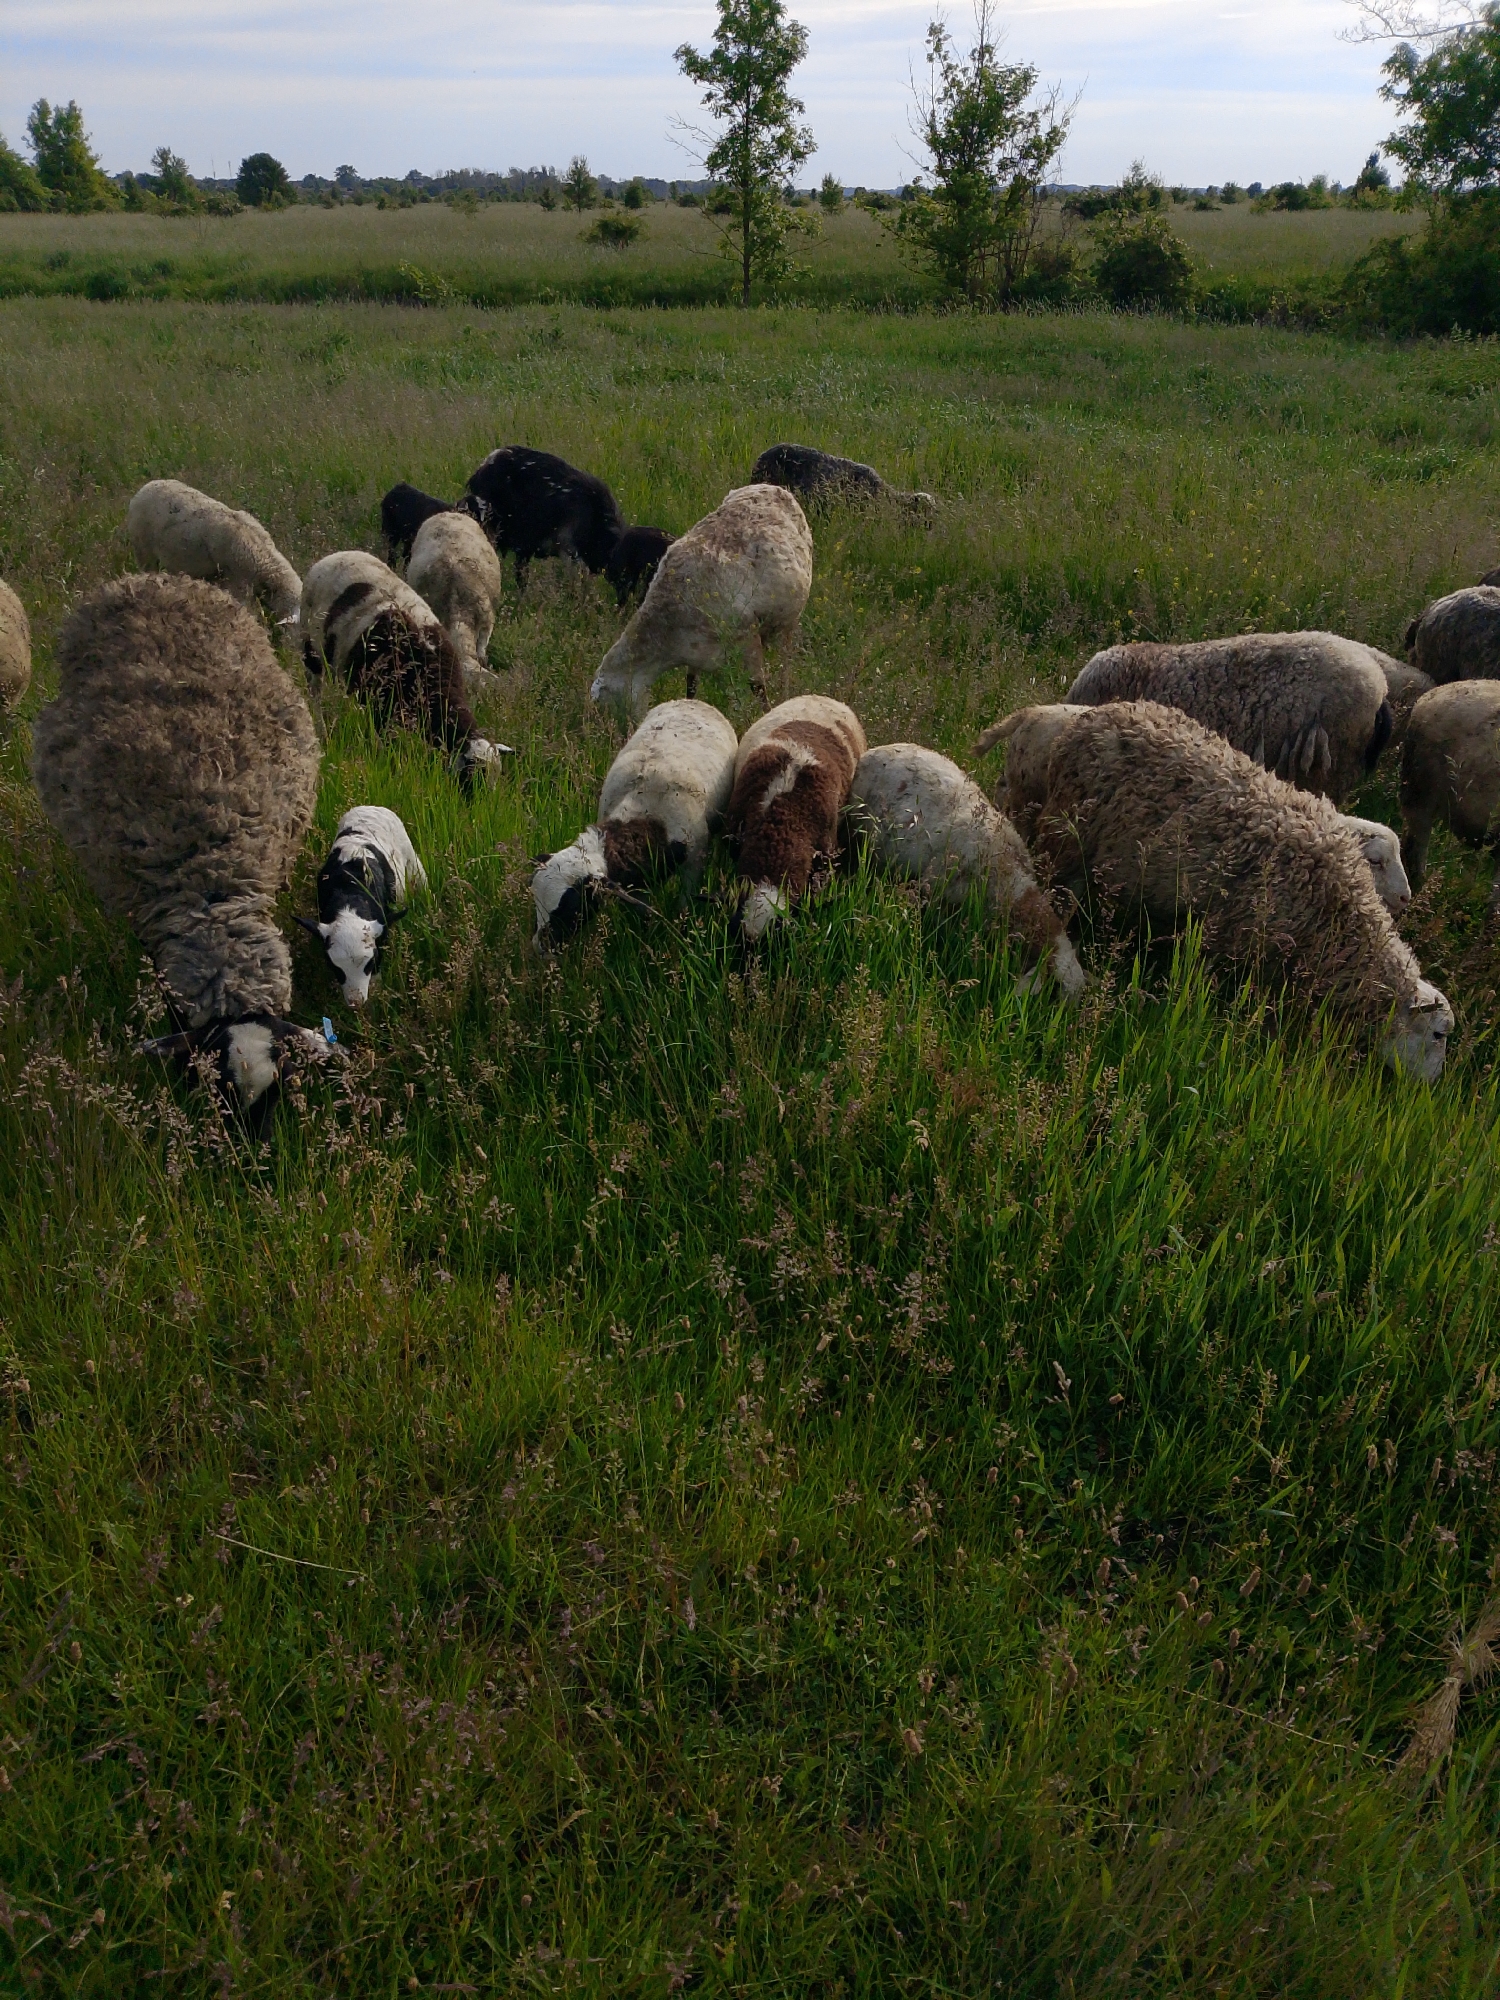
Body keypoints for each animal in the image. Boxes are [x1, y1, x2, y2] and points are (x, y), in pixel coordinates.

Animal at [299, 551, 510, 787]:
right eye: (472, 775)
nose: (477, 799)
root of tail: (336, 555)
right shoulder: (378, 702)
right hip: (311, 647)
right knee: (314, 690)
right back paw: (320, 728)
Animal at [299, 806, 428, 1006]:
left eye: (370, 963)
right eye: (334, 966)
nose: (355, 1002)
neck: (349, 891)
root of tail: (369, 807)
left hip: (413, 862)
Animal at [531, 699, 738, 946]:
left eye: (571, 906)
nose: (540, 947)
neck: (644, 814)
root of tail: (690, 700)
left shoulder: (693, 862)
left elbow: (684, 906)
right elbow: (643, 914)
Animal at [591, 485, 813, 722]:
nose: (619, 731)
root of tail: (770, 486)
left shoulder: (746, 641)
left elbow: (758, 689)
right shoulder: (695, 654)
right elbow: (691, 687)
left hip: (790, 619)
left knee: (786, 661)